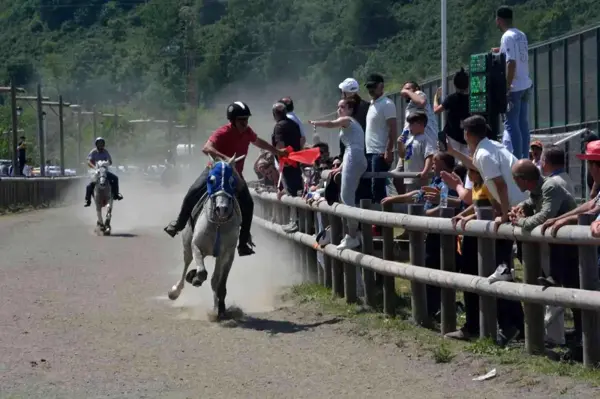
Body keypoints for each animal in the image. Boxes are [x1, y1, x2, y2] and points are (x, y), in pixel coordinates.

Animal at [166, 155, 244, 320]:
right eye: (211, 180)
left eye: (232, 181)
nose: (222, 209)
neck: (218, 224)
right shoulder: (196, 246)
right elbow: (202, 272)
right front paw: (194, 277)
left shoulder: (228, 253)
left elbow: (219, 283)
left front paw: (220, 309)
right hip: (187, 244)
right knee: (186, 264)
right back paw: (175, 290)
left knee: (214, 279)